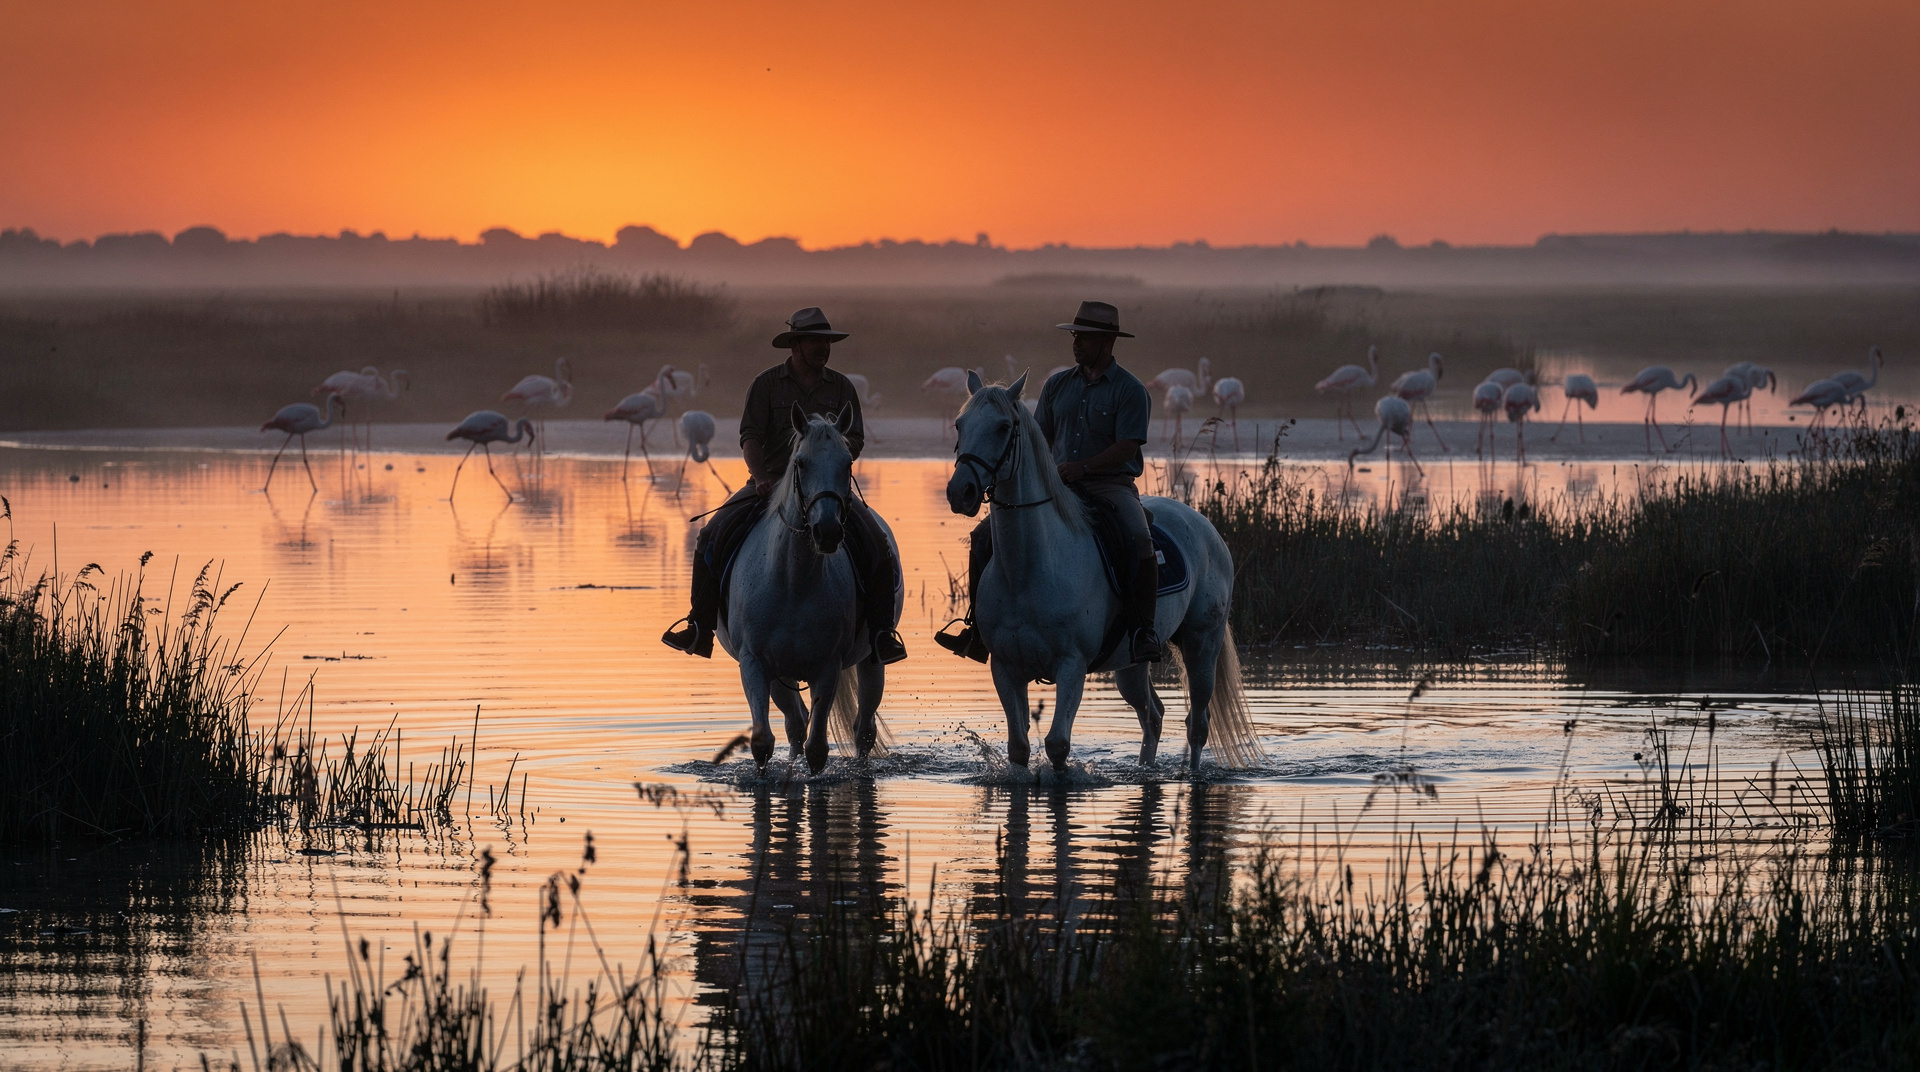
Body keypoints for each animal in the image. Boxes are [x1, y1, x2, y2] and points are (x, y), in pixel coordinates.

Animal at [717, 407, 899, 774]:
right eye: (800, 462)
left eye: (847, 462)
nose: (827, 531)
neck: (793, 582)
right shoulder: (755, 663)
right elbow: (763, 743)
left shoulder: (827, 667)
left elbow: (817, 749)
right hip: (778, 677)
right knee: (796, 723)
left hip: (872, 661)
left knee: (863, 729)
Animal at [944, 371, 1263, 774]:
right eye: (960, 423)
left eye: (1003, 427)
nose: (961, 492)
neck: (1029, 570)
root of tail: (1206, 527)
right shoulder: (1005, 668)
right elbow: (1018, 748)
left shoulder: (1071, 667)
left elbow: (1057, 745)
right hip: (1132, 664)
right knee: (1153, 715)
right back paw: (1144, 770)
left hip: (1201, 645)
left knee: (1197, 724)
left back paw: (1190, 775)